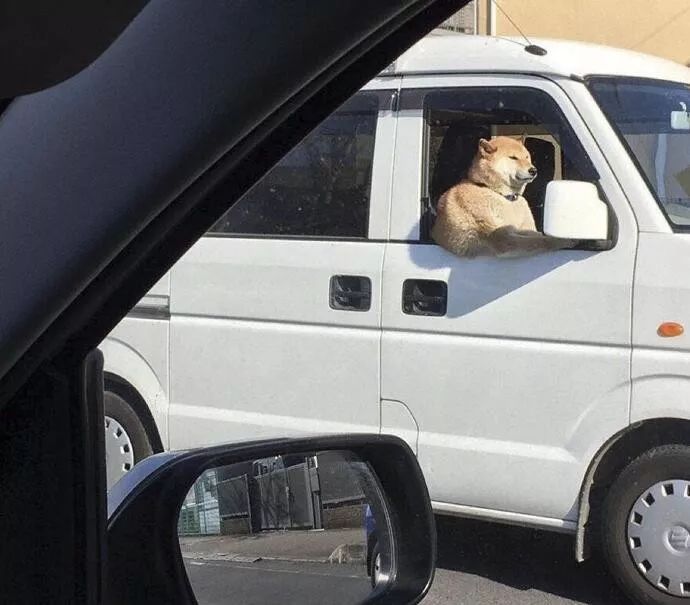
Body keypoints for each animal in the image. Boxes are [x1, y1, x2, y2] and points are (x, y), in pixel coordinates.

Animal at [430, 136, 576, 256]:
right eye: (513, 158)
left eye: (527, 157)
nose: (533, 170)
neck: (501, 194)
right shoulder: (503, 238)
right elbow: (537, 242)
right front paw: (560, 240)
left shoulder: (517, 229)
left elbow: (536, 235)